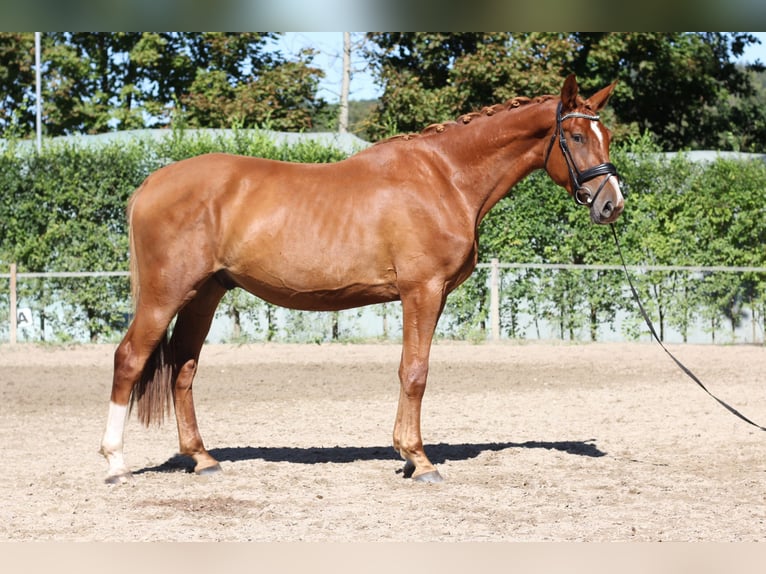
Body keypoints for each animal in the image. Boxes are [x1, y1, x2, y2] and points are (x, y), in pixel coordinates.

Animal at [100, 74, 624, 484]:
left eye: (608, 137)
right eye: (576, 137)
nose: (611, 204)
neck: (445, 178)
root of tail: (152, 183)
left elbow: (409, 369)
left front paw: (407, 456)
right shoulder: (422, 291)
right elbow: (415, 372)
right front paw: (419, 460)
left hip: (204, 294)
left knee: (183, 369)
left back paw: (203, 459)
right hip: (166, 294)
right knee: (129, 360)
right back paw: (116, 464)